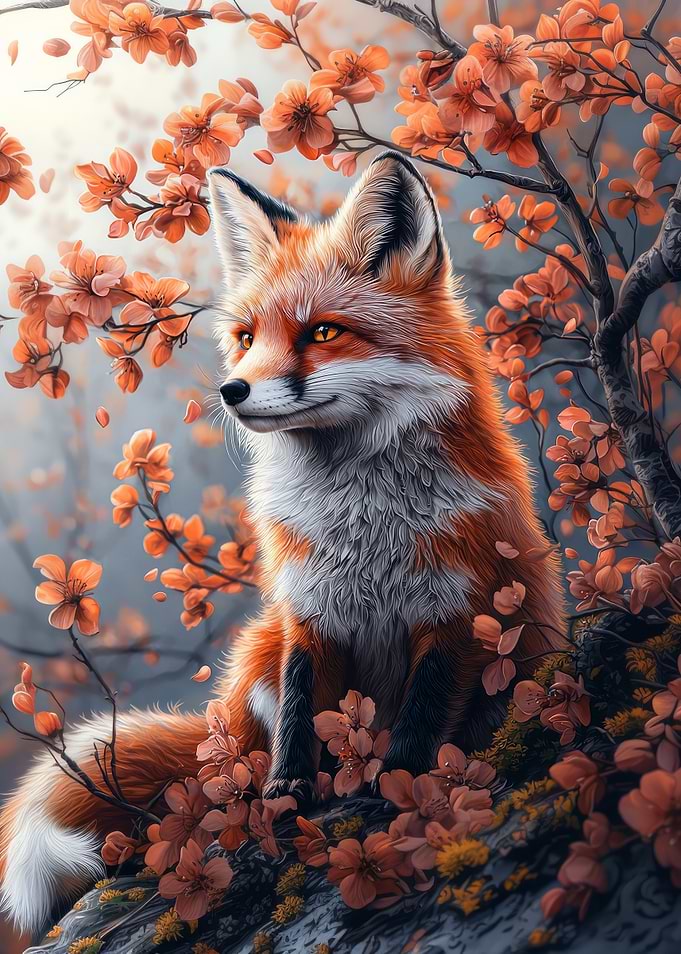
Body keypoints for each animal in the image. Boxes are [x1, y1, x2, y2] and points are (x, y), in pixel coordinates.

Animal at [0, 151, 566, 935]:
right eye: (245, 337)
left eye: (322, 334)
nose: (232, 391)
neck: (364, 530)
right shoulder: (308, 611)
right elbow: (301, 718)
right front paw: (287, 800)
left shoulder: (459, 609)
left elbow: (421, 719)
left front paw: (394, 786)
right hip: (257, 652)